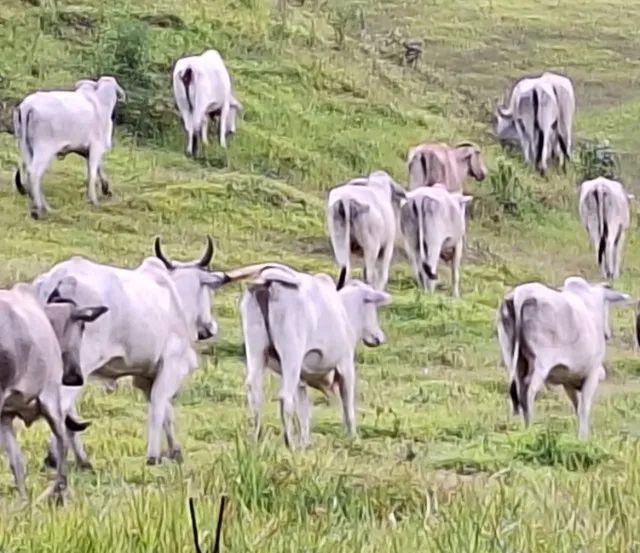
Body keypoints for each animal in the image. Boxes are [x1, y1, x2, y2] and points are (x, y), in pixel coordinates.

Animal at [0, 282, 107, 502]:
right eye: (82, 327)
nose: (75, 376)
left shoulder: (5, 415)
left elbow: (16, 462)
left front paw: (24, 501)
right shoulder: (51, 400)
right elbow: (62, 443)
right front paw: (59, 493)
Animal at [12, 76, 125, 219]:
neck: (101, 103)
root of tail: (28, 105)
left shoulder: (88, 151)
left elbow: (99, 169)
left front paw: (106, 189)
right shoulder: (96, 147)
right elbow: (92, 173)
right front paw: (94, 200)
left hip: (25, 146)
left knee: (29, 172)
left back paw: (45, 206)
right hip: (43, 149)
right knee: (34, 174)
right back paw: (38, 209)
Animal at [31, 236, 228, 468]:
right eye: (209, 290)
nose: (209, 328)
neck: (175, 297)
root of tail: (60, 279)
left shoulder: (147, 375)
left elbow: (166, 411)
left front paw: (176, 451)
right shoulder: (171, 364)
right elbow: (159, 406)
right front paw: (153, 456)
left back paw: (81, 461)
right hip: (80, 364)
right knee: (61, 405)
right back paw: (60, 458)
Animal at [206, 262, 391, 447]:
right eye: (372, 305)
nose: (379, 337)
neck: (344, 310)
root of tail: (268, 283)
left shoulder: (301, 380)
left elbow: (303, 412)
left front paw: (306, 443)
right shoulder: (345, 366)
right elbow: (348, 407)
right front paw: (353, 438)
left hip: (256, 350)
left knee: (255, 390)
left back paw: (257, 438)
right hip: (291, 355)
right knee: (285, 397)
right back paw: (290, 443)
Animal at [496, 276, 632, 439]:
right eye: (606, 305)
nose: (608, 334)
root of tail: (521, 294)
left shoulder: (567, 381)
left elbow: (577, 407)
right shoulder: (592, 374)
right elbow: (584, 408)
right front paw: (583, 438)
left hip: (513, 361)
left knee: (519, 393)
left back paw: (526, 430)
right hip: (541, 364)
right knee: (528, 393)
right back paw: (532, 430)